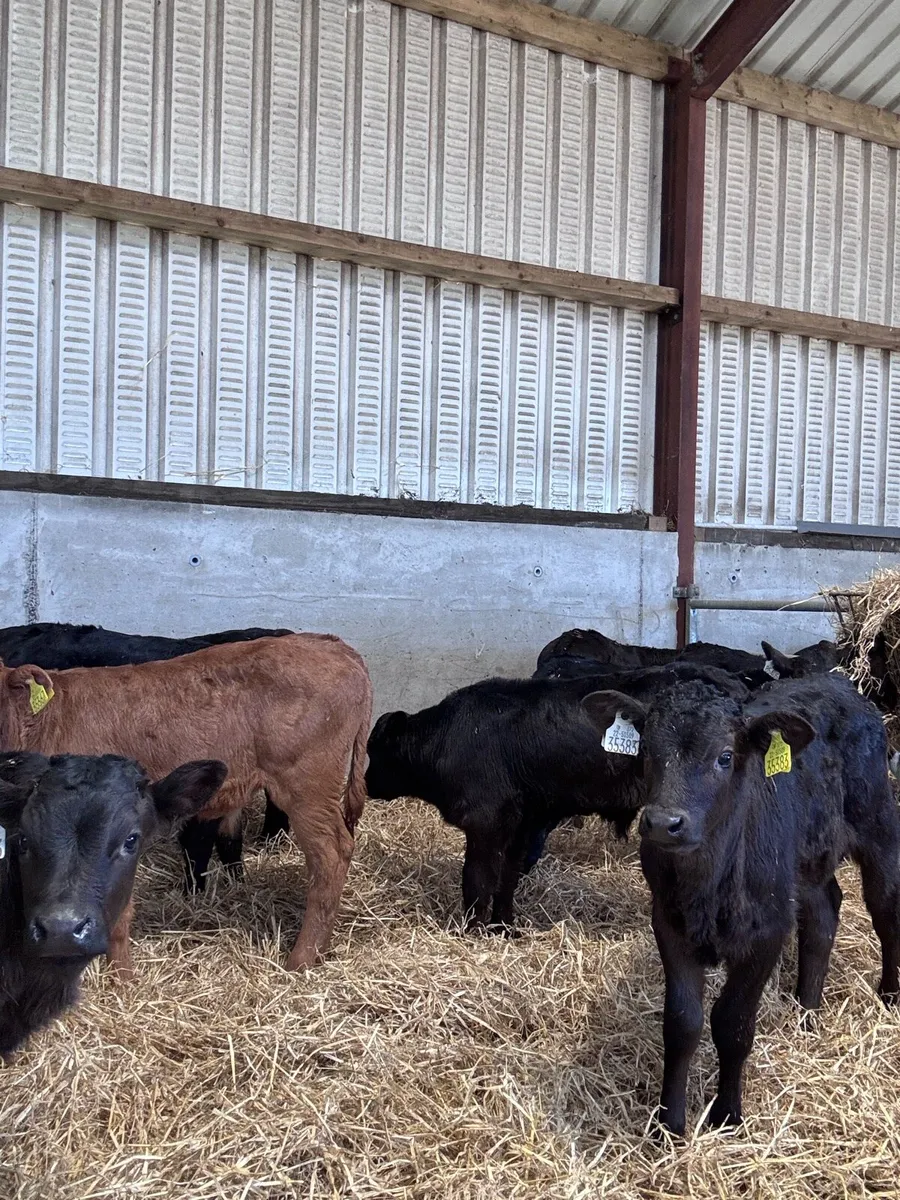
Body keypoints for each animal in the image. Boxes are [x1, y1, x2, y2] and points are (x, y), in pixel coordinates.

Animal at [365, 664, 747, 933]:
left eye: (374, 751)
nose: (366, 783)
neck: (448, 738)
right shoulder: (524, 822)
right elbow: (507, 876)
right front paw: (503, 928)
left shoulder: (485, 821)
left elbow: (477, 878)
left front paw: (472, 931)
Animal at [581, 673, 900, 1135]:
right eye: (647, 753)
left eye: (725, 756)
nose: (663, 823)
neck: (708, 883)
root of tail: (838, 683)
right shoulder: (669, 922)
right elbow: (682, 1021)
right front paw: (669, 1123)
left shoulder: (766, 929)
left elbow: (732, 1023)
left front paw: (727, 1114)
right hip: (804, 860)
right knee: (824, 913)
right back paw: (806, 1013)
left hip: (877, 821)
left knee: (886, 907)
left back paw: (889, 994)